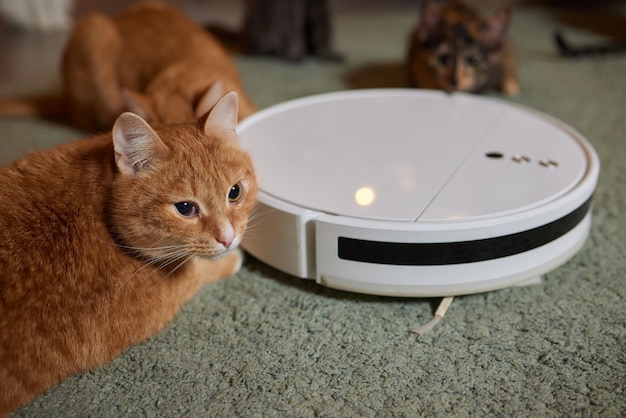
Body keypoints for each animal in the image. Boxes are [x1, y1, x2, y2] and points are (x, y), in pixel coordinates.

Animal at [0, 91, 256, 414]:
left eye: (235, 192)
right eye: (185, 208)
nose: (228, 238)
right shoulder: (168, 292)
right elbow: (199, 269)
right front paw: (234, 258)